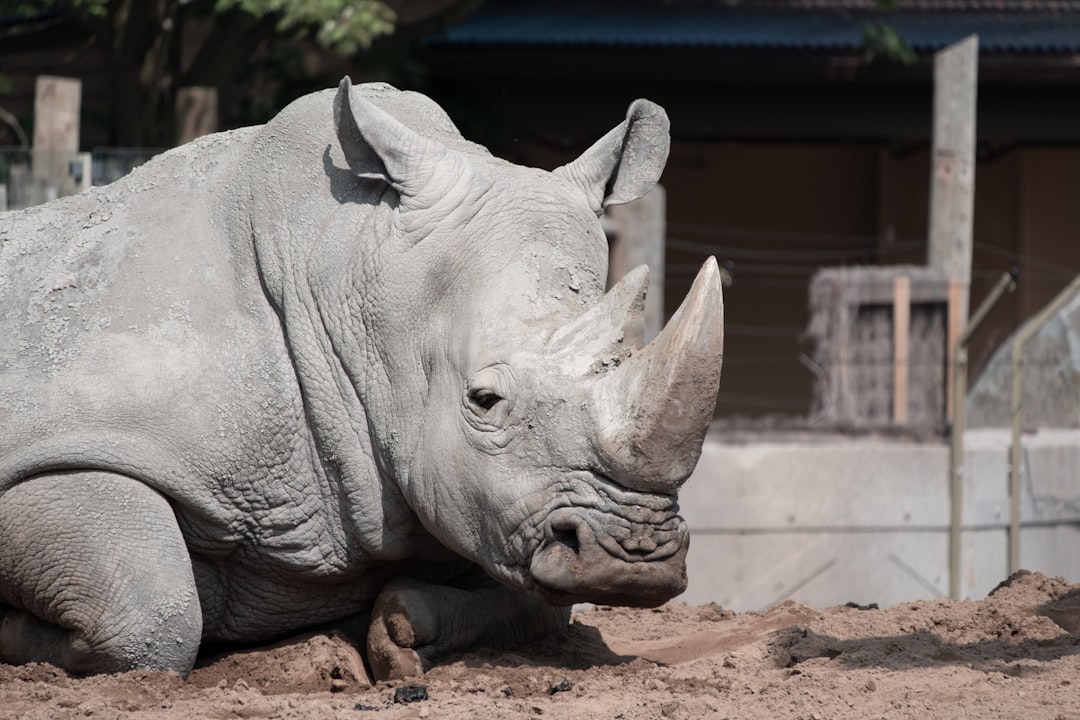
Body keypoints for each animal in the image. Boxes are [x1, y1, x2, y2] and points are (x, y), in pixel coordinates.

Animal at [0, 78, 724, 679]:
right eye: (484, 400)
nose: (633, 558)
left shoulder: (488, 505)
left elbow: (543, 599)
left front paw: (399, 631)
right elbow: (150, 611)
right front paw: (15, 633)